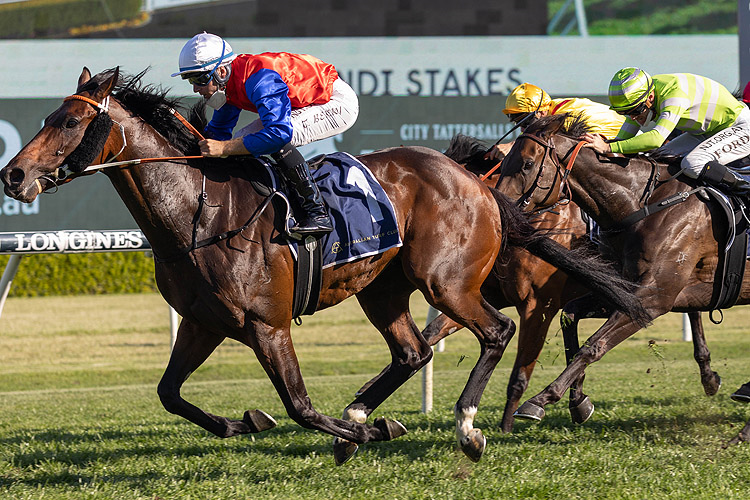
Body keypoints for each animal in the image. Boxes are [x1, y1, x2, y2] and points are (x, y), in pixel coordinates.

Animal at [0, 67, 648, 464]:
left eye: (69, 121)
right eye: (49, 117)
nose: (14, 174)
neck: (198, 212)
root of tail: (480, 183)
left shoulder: (266, 324)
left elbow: (300, 406)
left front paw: (358, 432)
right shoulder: (204, 322)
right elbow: (168, 394)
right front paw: (247, 422)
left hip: (445, 281)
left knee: (497, 330)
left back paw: (465, 426)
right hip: (381, 288)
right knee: (412, 351)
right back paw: (367, 409)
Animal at [496, 114, 748, 446]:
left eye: (526, 164)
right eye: (504, 162)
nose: (498, 208)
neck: (644, 205)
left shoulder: (653, 298)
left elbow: (594, 345)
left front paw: (539, 400)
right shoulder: (626, 290)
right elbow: (570, 318)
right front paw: (578, 402)